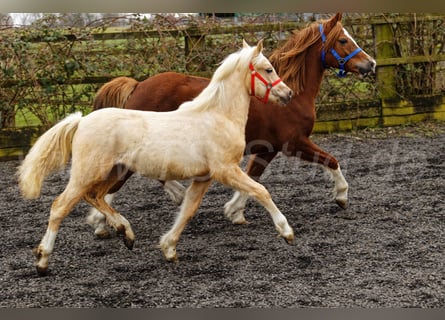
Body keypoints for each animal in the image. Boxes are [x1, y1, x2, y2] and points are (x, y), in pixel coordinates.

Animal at [19, 40, 294, 276]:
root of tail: (82, 120)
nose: (288, 93)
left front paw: (169, 248)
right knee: (60, 206)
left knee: (95, 196)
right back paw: (43, 261)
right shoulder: (225, 170)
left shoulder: (204, 177)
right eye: (268, 69)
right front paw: (286, 231)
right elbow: (260, 191)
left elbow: (188, 209)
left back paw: (125, 232)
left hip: (113, 172)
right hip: (88, 173)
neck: (218, 117)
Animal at [86, 12, 374, 236]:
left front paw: (235, 211)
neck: (291, 94)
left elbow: (252, 177)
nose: (370, 64)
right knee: (117, 182)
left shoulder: (268, 148)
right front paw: (341, 197)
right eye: (343, 40)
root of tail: (138, 86)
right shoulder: (294, 143)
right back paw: (103, 222)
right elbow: (332, 160)